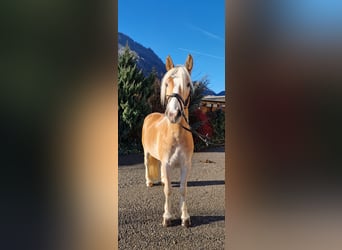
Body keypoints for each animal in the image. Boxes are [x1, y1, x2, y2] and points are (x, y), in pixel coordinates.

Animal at [142, 54, 194, 227]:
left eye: (188, 84)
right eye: (166, 83)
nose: (173, 114)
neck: (176, 134)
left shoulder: (185, 165)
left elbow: (183, 189)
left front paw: (185, 217)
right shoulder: (166, 164)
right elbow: (169, 191)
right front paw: (167, 216)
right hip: (146, 153)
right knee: (147, 165)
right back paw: (149, 181)